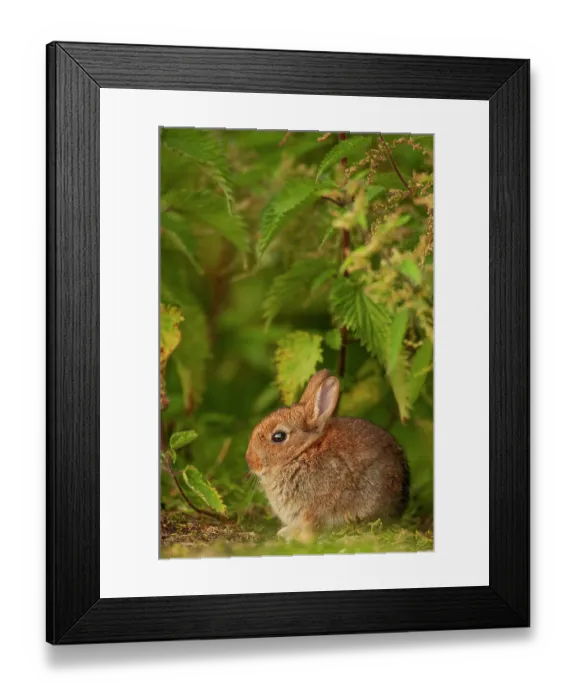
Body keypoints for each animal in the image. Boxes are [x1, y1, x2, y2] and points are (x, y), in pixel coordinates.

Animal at [245, 369, 410, 543]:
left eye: (278, 436)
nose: (251, 461)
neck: (302, 452)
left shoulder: (313, 510)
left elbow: (311, 529)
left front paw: (301, 540)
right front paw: (285, 533)